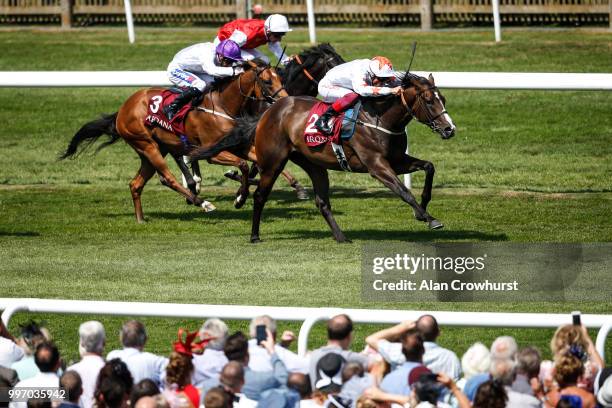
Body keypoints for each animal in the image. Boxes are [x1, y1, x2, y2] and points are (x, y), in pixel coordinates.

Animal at [63, 59, 288, 223]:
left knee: (136, 184)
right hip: (147, 145)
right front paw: (240, 198)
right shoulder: (213, 152)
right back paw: (202, 202)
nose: (284, 100)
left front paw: (241, 195)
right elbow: (242, 165)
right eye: (267, 81)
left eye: (280, 78)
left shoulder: (239, 145)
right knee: (167, 178)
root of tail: (123, 108)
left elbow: (253, 162)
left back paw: (141, 219)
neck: (222, 105)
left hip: (154, 149)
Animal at [191, 72, 454, 242]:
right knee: (260, 195)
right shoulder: (377, 166)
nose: (450, 129)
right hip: (274, 161)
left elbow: (429, 167)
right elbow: (403, 191)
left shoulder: (397, 160)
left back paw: (341, 237)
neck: (379, 119)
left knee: (322, 202)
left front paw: (423, 207)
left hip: (314, 164)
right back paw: (254, 234)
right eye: (429, 101)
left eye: (443, 99)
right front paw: (429, 218)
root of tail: (269, 112)